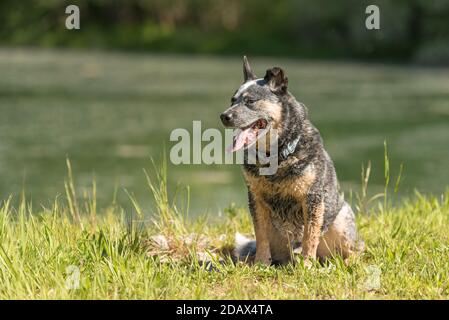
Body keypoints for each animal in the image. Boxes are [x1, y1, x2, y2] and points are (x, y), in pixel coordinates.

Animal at [220, 57, 364, 264]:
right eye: (233, 100)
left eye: (250, 101)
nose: (224, 116)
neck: (276, 156)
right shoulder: (255, 199)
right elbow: (260, 235)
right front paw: (261, 263)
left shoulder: (312, 198)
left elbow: (310, 236)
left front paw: (307, 264)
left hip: (342, 219)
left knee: (355, 249)